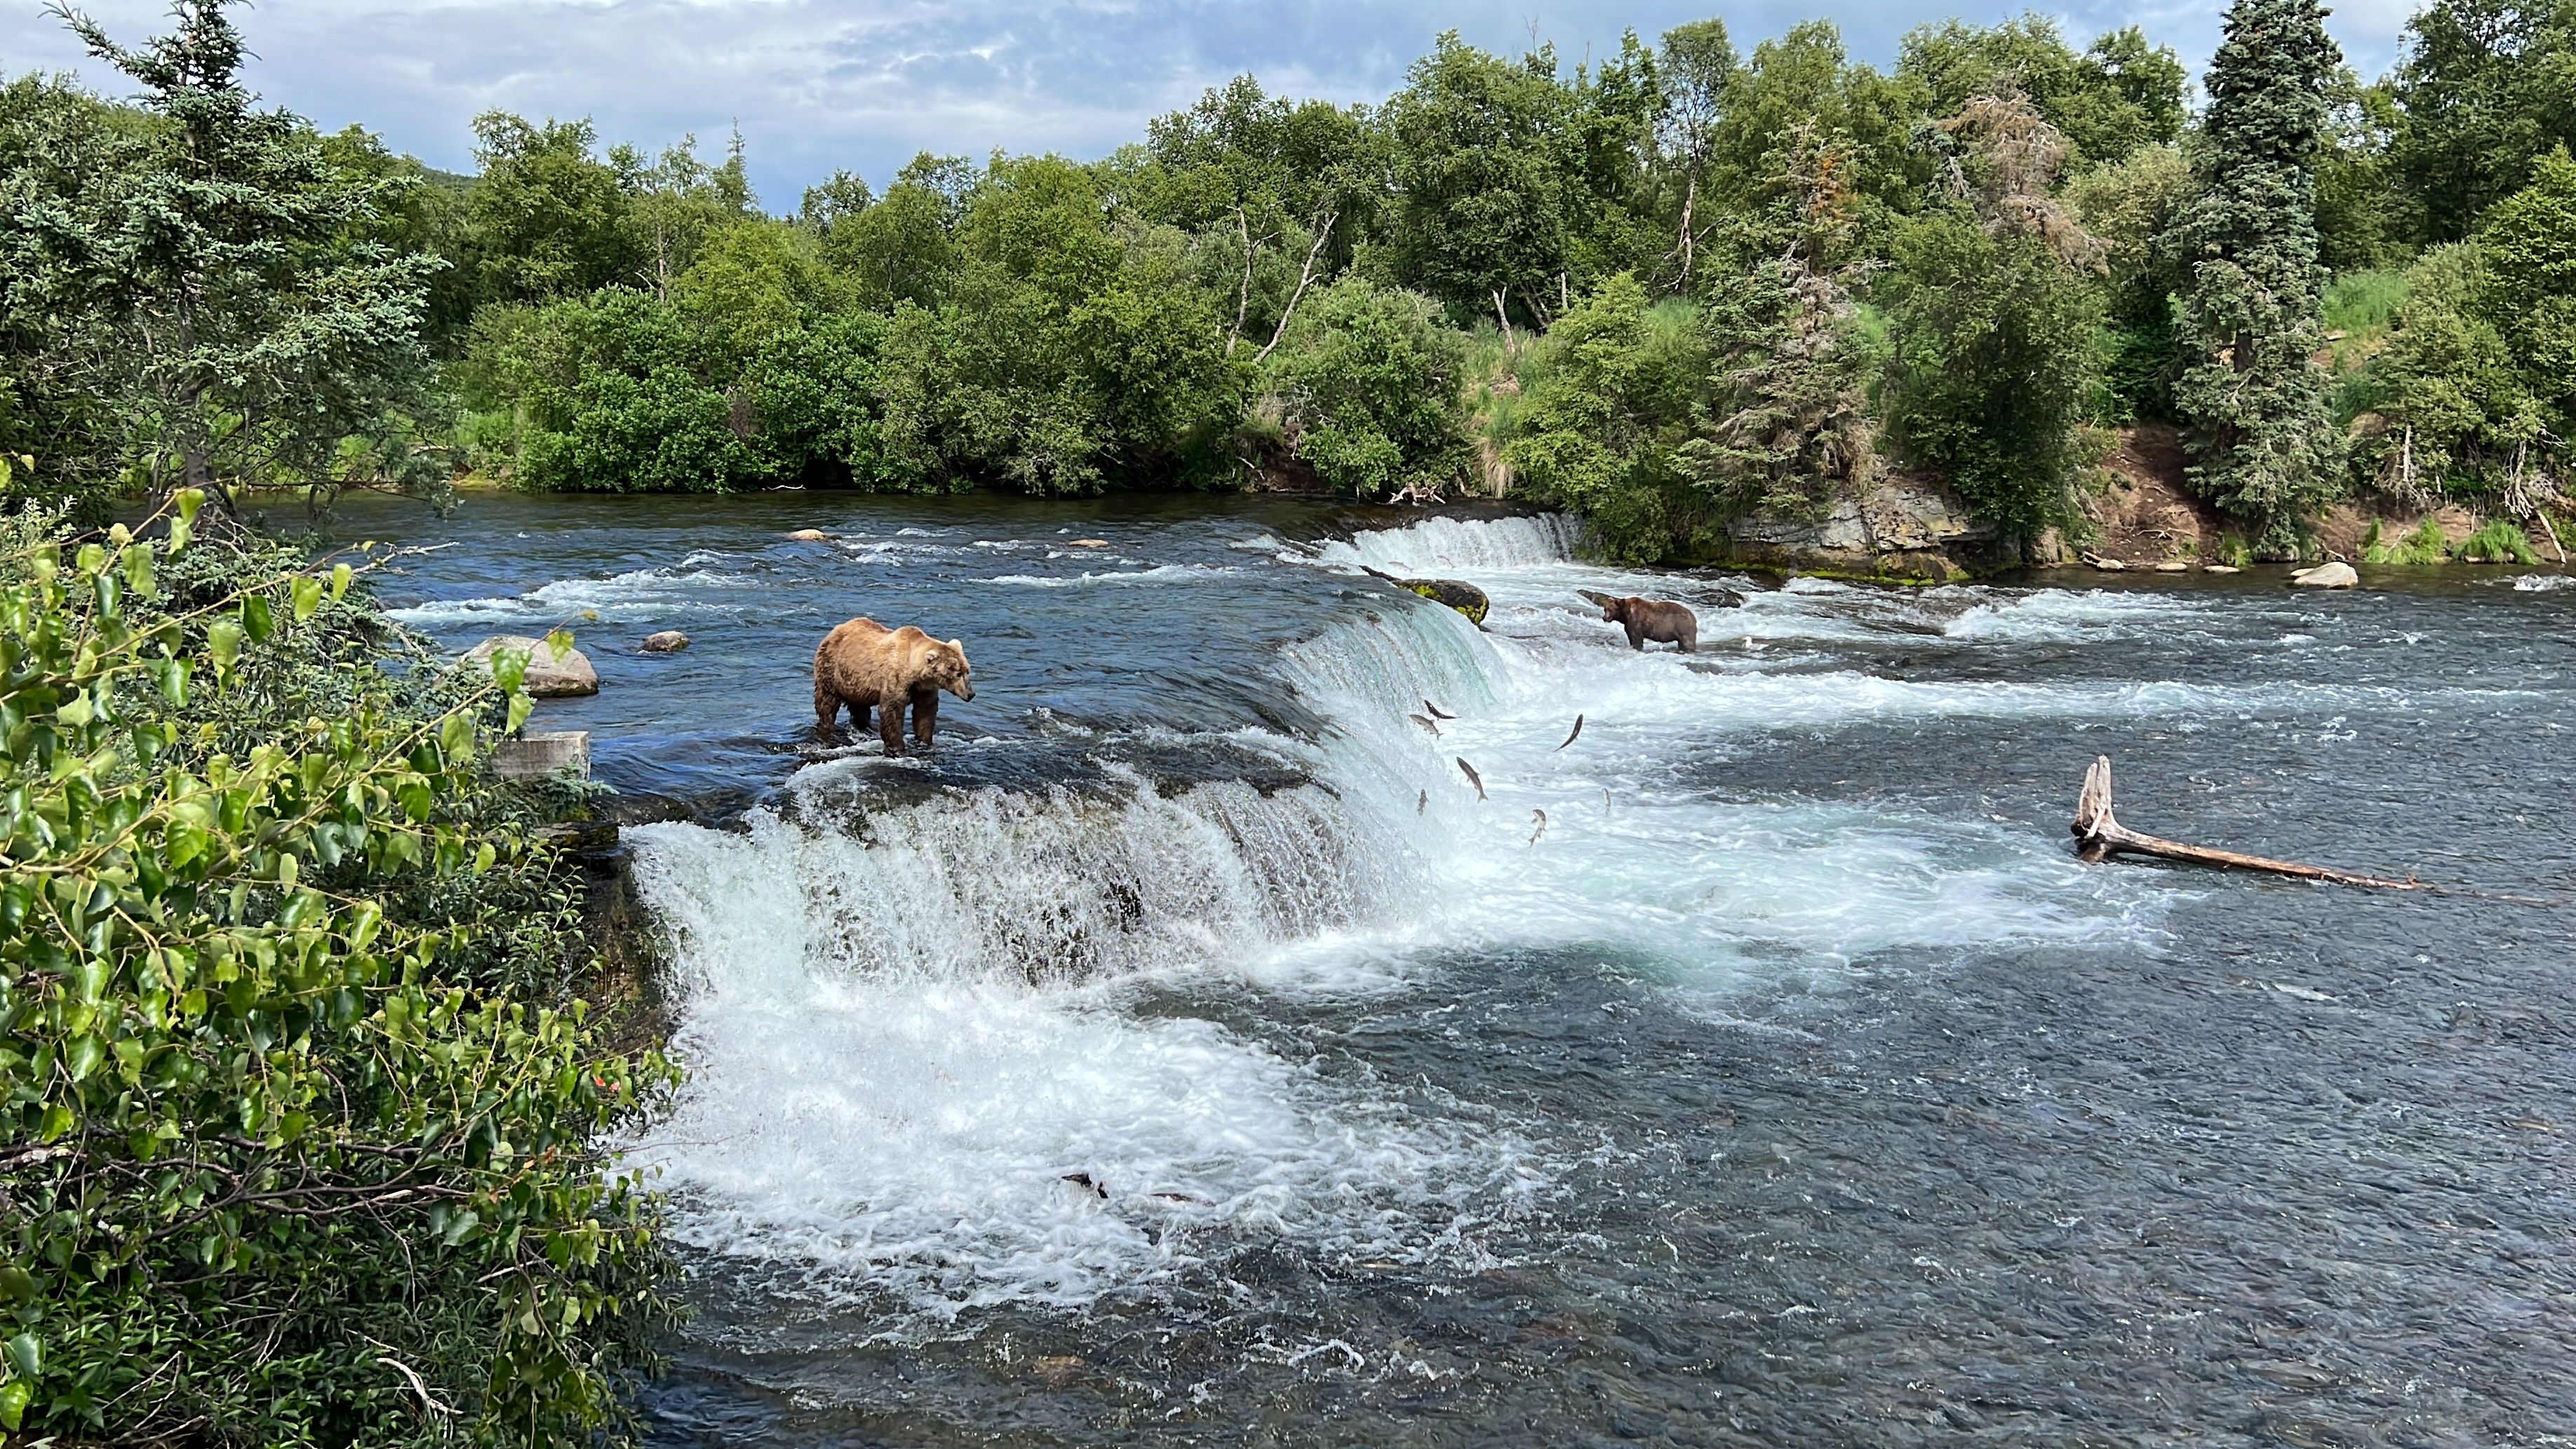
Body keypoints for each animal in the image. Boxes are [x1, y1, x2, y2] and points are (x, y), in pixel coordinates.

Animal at [812, 617, 975, 756]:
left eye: (967, 670)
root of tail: (835, 630)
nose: (971, 694)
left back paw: (865, 728)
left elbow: (925, 712)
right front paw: (897, 747)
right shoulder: (896, 679)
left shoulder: (925, 689)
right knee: (827, 702)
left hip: (856, 684)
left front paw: (925, 741)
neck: (915, 673)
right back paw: (828, 725)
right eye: (958, 673)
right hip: (832, 669)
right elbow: (892, 711)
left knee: (860, 708)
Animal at [1601, 595, 1698, 652]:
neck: (1626, 615)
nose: (1604, 618)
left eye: (1611, 609)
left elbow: (1637, 640)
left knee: (1688, 643)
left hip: (1683, 627)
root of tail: (1693, 616)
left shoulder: (1636, 623)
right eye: (1605, 609)